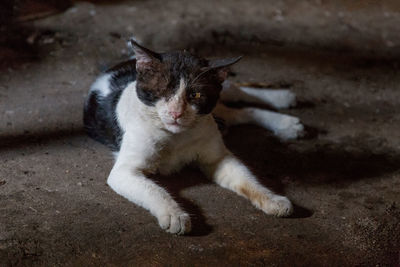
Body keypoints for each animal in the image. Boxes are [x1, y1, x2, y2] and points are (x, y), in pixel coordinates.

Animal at [83, 39, 304, 234]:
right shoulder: (124, 171)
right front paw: (174, 215)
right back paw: (285, 120)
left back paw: (283, 101)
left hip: (222, 89)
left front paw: (272, 199)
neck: (176, 137)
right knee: (240, 113)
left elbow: (247, 179)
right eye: (162, 91)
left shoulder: (218, 157)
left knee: (242, 95)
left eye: (196, 95)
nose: (176, 113)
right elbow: (154, 190)